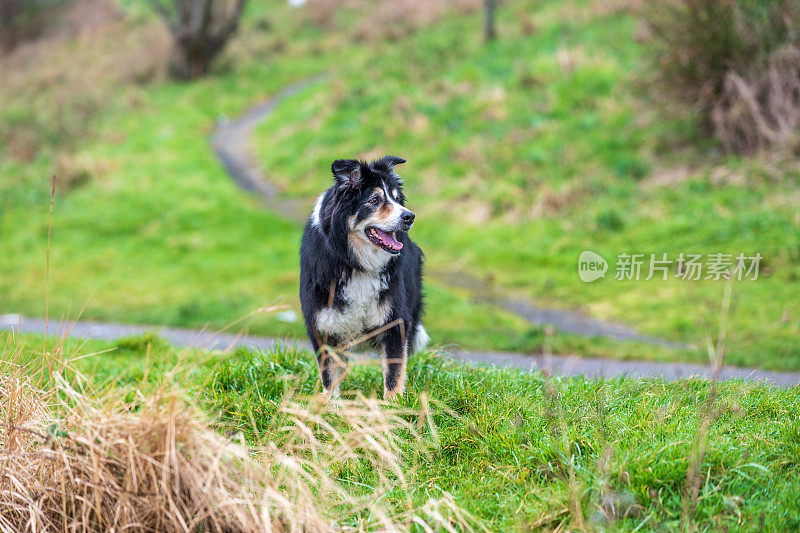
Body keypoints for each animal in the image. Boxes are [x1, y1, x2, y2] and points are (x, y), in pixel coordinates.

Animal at [300, 156, 428, 396]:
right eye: (375, 199)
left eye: (397, 199)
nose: (409, 216)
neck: (356, 264)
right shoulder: (323, 327)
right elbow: (329, 377)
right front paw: (331, 405)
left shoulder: (395, 321)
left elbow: (394, 374)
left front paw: (393, 404)